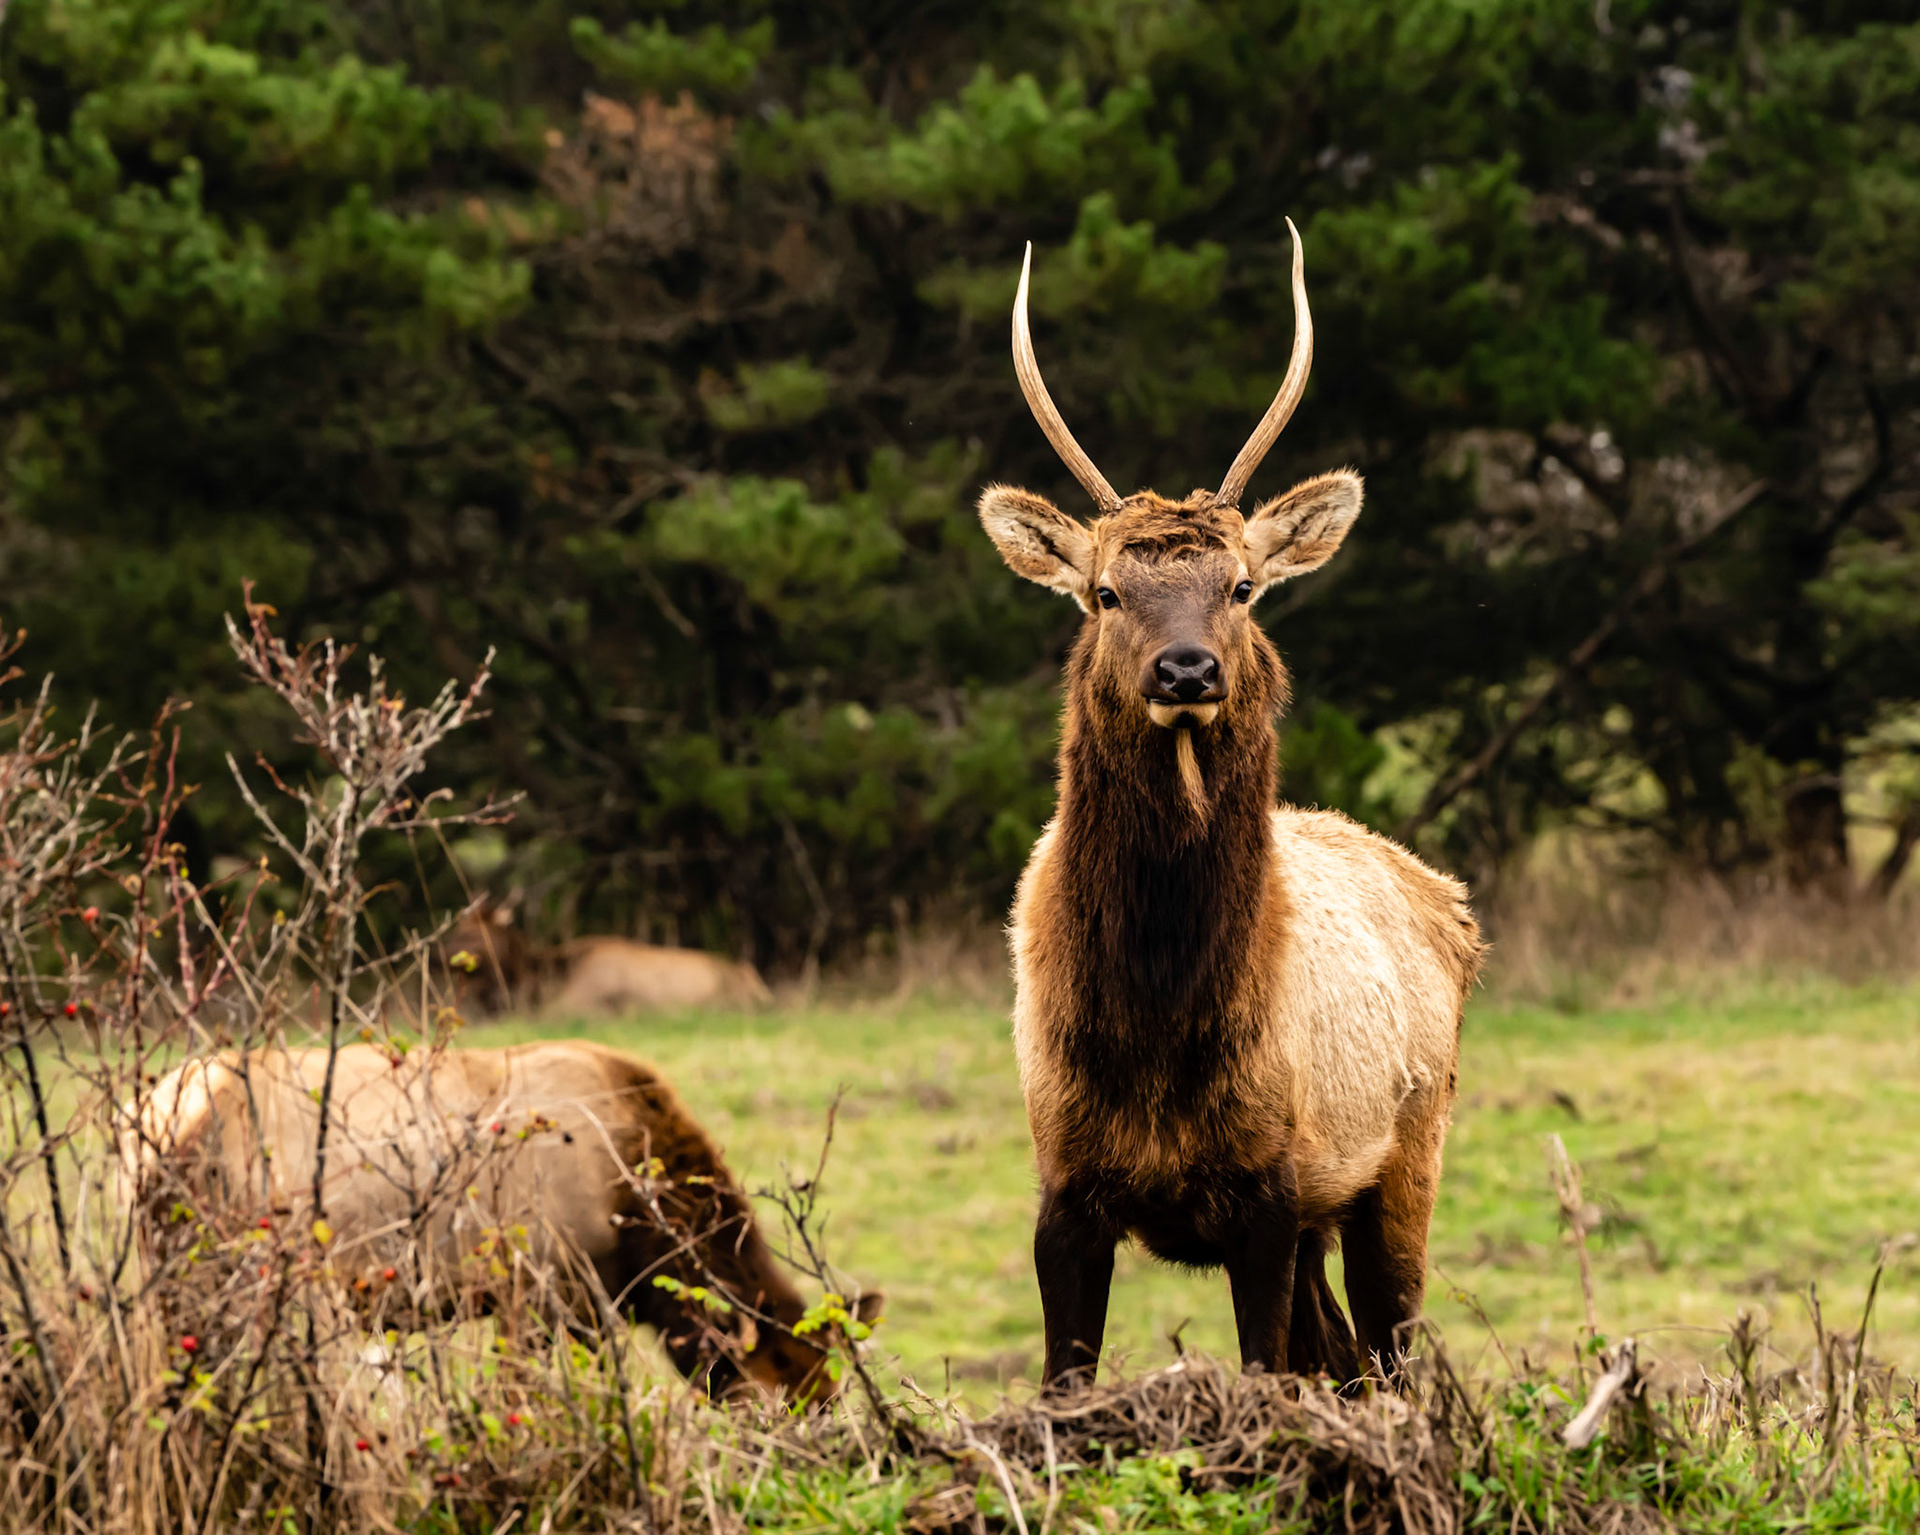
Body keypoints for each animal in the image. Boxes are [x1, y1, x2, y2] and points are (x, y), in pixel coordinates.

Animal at [979, 222, 1484, 1391]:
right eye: (1106, 590)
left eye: (1243, 586)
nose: (1186, 668)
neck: (1160, 1021)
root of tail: (1448, 899)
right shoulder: (1064, 1184)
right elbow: (1064, 1379)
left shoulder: (1271, 1187)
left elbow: (1269, 1375)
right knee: (1341, 1351)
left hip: (1404, 1157)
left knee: (1388, 1352)